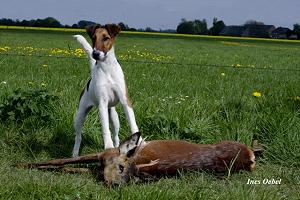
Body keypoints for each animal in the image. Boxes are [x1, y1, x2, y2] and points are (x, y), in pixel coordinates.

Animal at [72, 24, 139, 157]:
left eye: (106, 38)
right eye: (93, 38)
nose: (95, 54)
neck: (107, 68)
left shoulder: (125, 101)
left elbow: (133, 123)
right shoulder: (102, 104)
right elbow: (105, 128)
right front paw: (108, 146)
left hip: (114, 117)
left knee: (116, 135)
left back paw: (118, 147)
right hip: (80, 115)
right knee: (78, 136)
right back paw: (75, 153)